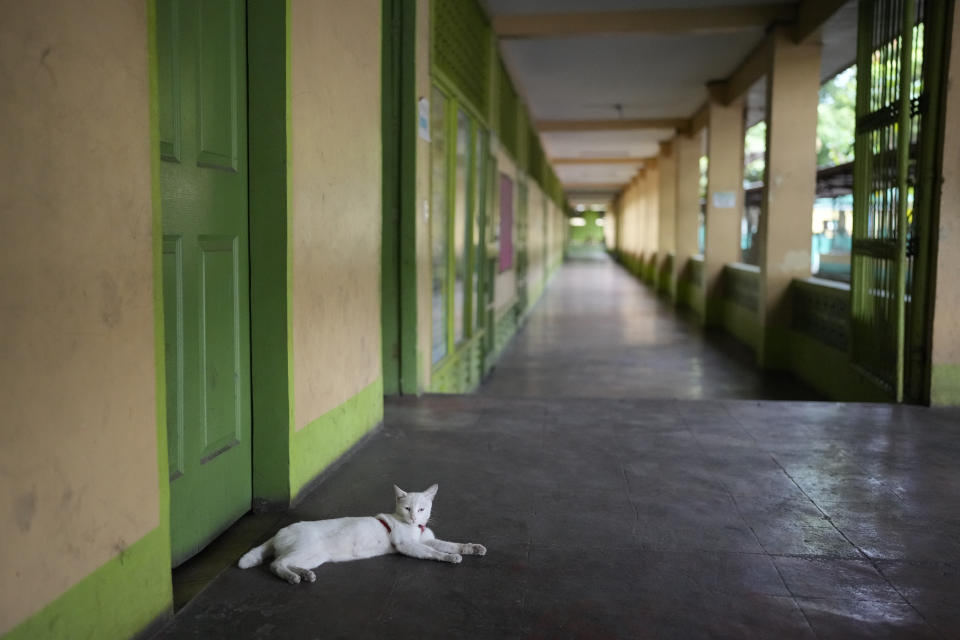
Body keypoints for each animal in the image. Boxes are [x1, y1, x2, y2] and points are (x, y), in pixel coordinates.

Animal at [233, 484, 488, 584]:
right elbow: (432, 552)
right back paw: (293, 577)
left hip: (316, 555)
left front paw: (472, 548)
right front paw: (450, 558)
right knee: (276, 564)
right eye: (408, 509)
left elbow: (451, 544)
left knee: (285, 562)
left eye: (422, 509)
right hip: (306, 548)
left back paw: (304, 574)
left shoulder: (430, 539)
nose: (415, 518)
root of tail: (279, 531)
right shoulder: (408, 545)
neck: (417, 529)